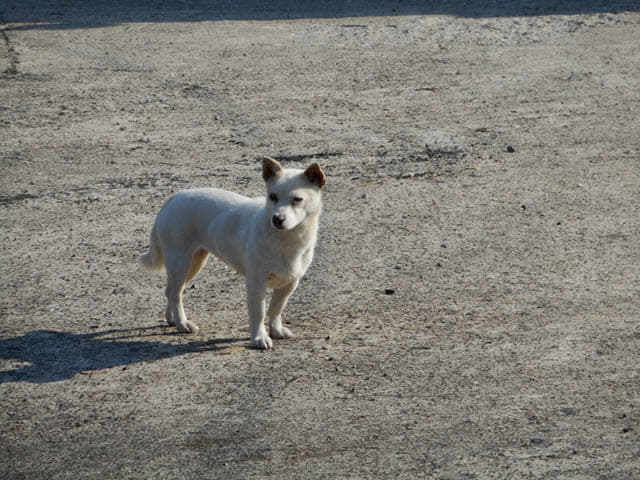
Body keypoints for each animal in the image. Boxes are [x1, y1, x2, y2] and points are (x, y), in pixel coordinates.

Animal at [139, 158, 324, 348]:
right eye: (273, 197)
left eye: (297, 199)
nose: (277, 219)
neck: (285, 239)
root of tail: (173, 199)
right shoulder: (256, 283)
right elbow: (259, 313)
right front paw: (259, 338)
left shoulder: (290, 283)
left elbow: (276, 309)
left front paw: (276, 330)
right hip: (180, 263)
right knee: (176, 294)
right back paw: (183, 323)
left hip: (193, 263)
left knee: (171, 291)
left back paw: (173, 320)